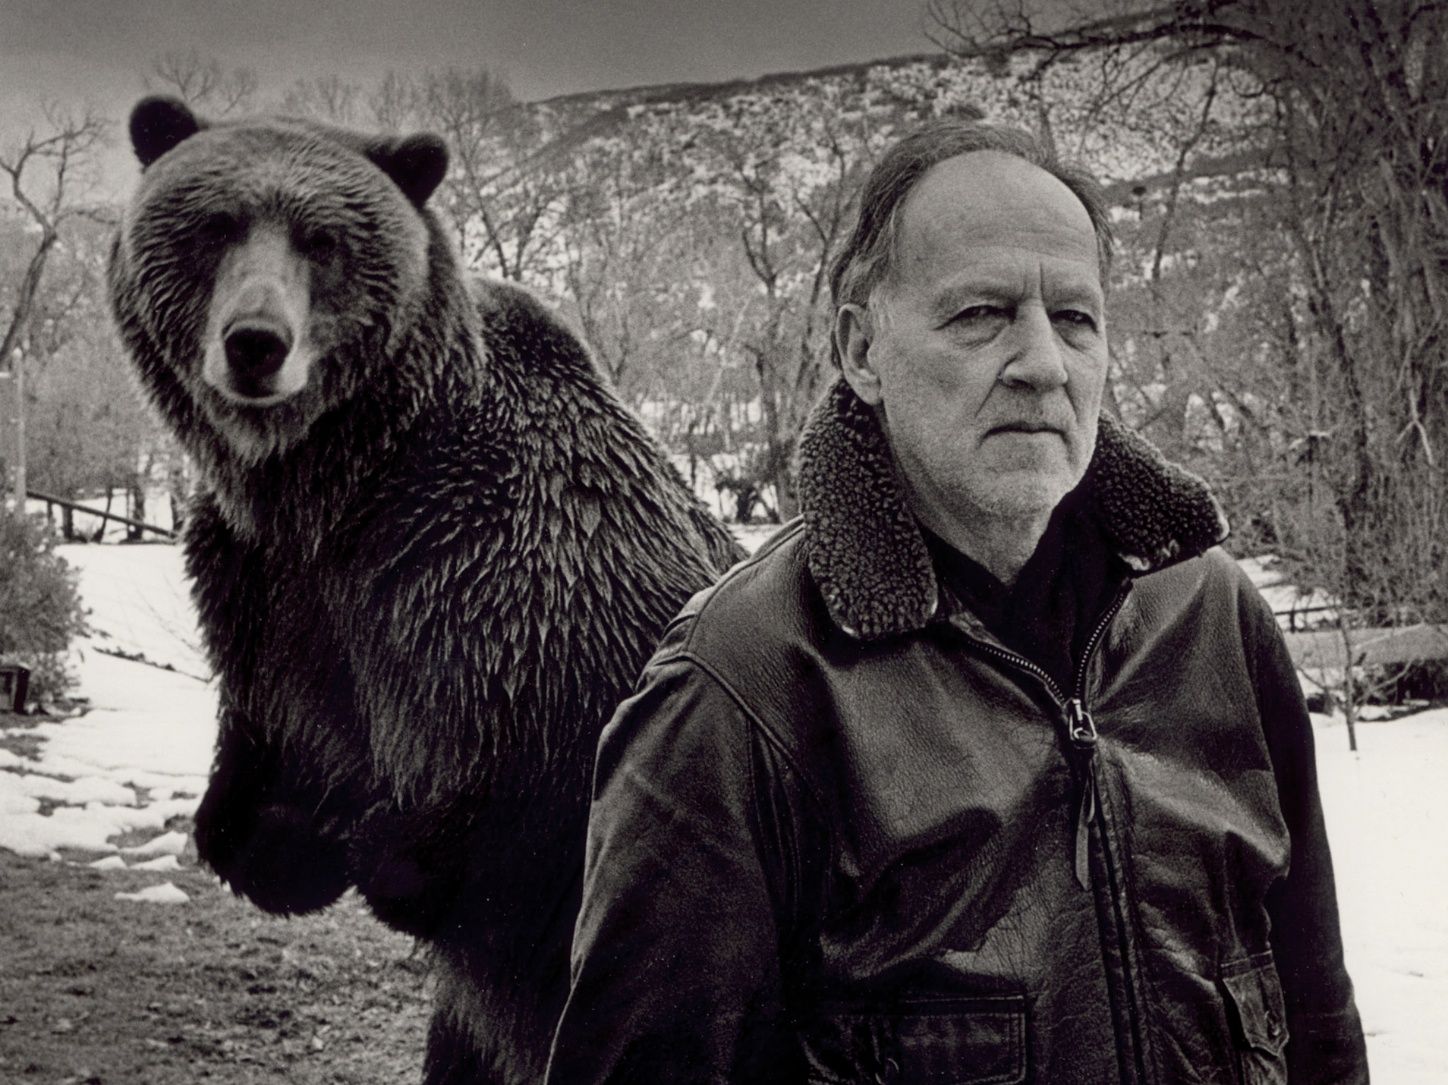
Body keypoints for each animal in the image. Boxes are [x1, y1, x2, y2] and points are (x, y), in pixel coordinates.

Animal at [107, 95, 743, 1083]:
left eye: (324, 238)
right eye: (214, 225)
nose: (256, 343)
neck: (334, 484)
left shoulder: (496, 568)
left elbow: (547, 796)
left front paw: (382, 846)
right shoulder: (264, 585)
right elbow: (268, 745)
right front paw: (280, 835)